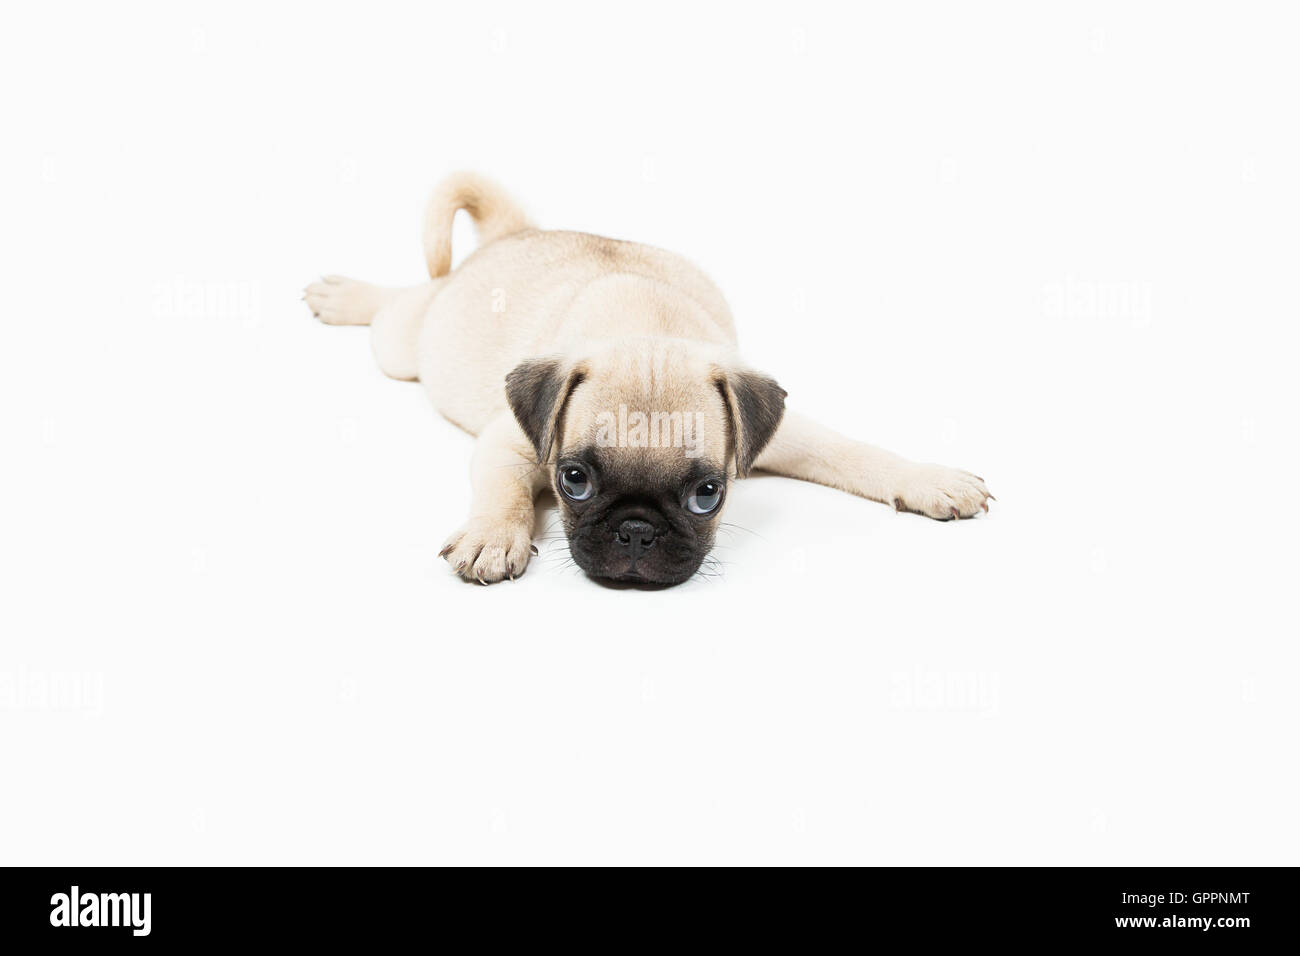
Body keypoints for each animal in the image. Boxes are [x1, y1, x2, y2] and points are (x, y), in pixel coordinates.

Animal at [306, 175, 993, 587]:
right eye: (573, 481)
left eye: (708, 494)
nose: (636, 531)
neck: (647, 328)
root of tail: (517, 231)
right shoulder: (510, 441)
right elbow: (501, 490)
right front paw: (493, 535)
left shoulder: (778, 432)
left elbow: (853, 452)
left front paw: (928, 479)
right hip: (403, 344)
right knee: (402, 302)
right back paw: (346, 296)